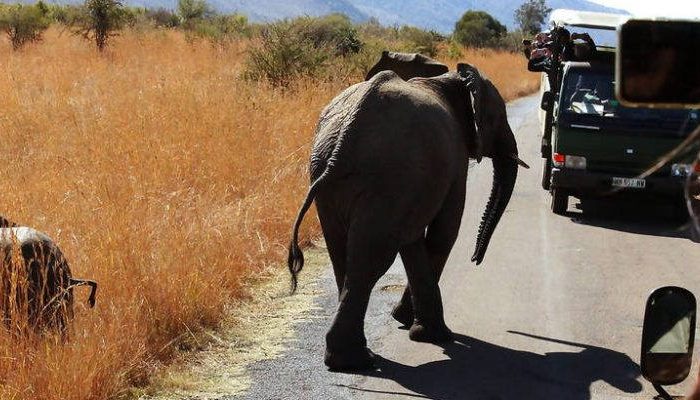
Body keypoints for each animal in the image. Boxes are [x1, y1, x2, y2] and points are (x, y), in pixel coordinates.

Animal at [288, 54, 528, 370]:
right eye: (497, 118)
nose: (475, 259)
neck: (449, 79)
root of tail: (344, 139)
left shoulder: (415, 186)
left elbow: (413, 240)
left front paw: (408, 323)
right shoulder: (454, 161)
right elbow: (443, 233)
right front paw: (434, 335)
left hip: (331, 179)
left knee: (344, 254)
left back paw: (349, 358)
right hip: (386, 177)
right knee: (371, 261)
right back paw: (356, 361)